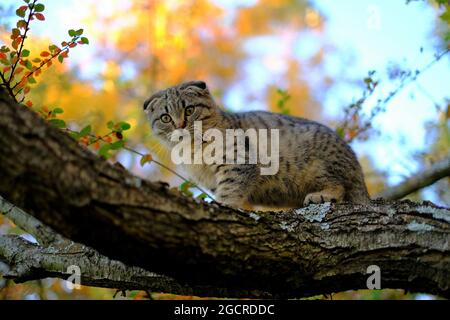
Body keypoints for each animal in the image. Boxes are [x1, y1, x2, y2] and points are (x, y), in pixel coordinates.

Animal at [143, 81, 370, 209]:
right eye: (165, 118)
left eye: (189, 110)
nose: (180, 125)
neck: (192, 150)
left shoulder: (238, 162)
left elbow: (230, 190)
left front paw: (223, 206)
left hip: (315, 165)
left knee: (340, 186)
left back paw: (321, 195)